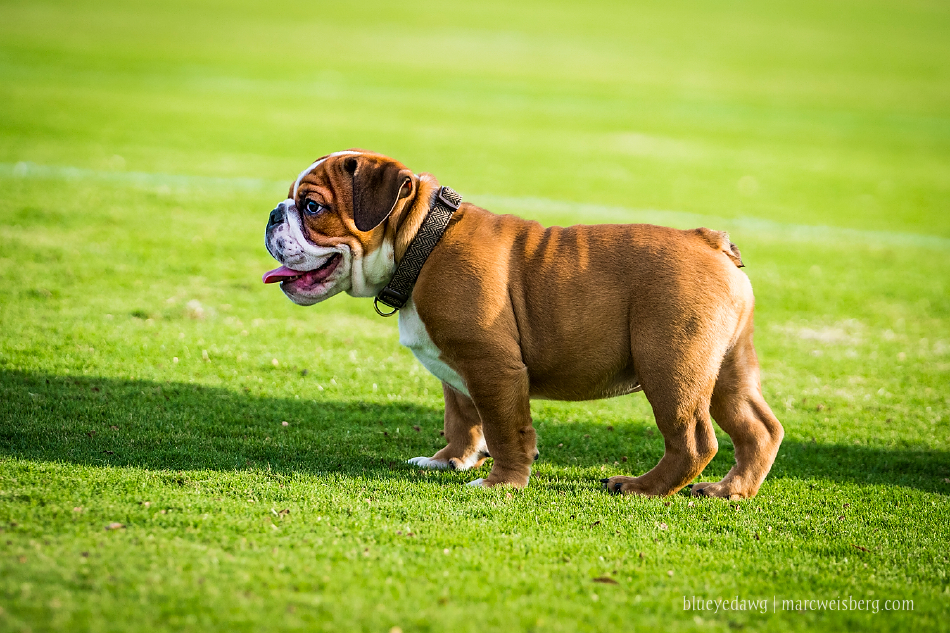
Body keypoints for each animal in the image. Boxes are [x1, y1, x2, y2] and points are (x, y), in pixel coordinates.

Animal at [264, 149, 784, 498]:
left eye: (311, 207)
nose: (272, 215)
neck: (420, 242)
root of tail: (709, 241)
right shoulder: (456, 371)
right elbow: (461, 419)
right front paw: (448, 462)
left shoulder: (493, 368)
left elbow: (504, 429)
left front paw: (500, 484)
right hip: (725, 369)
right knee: (759, 428)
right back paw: (730, 490)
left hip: (670, 365)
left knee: (692, 440)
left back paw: (642, 486)